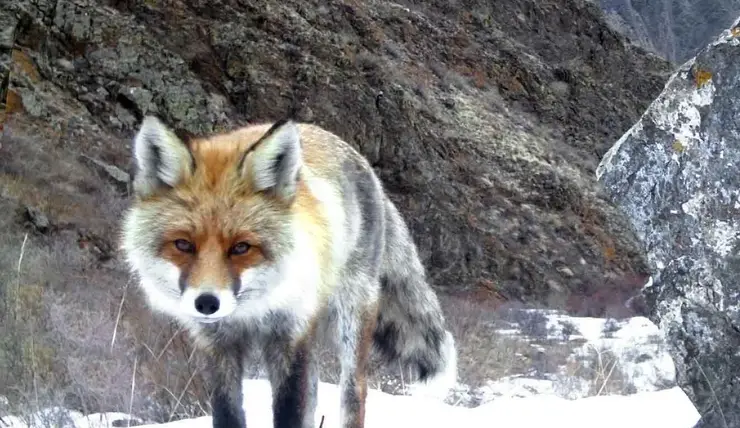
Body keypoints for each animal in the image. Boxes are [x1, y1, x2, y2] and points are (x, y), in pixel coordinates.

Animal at [120, 115, 456, 428]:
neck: (251, 310)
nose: (206, 303)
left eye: (241, 247)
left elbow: (290, 413)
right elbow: (228, 414)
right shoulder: (218, 347)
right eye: (183, 244)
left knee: (353, 393)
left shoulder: (289, 336)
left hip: (350, 319)